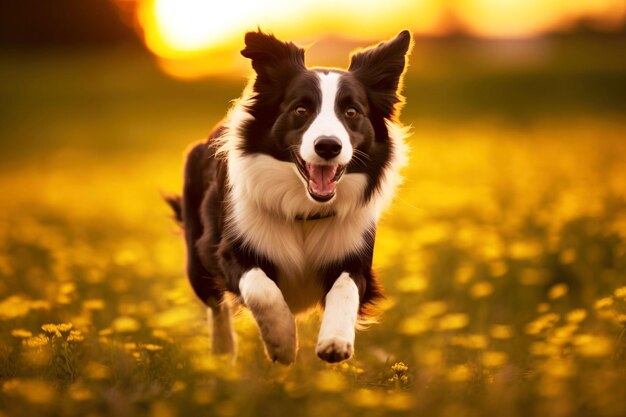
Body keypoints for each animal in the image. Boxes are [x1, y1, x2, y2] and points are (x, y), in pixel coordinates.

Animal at [165, 29, 410, 362]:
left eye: (351, 112)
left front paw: (335, 341)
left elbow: (345, 288)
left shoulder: (355, 258)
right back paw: (221, 354)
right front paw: (282, 341)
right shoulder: (228, 249)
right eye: (301, 109)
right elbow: (261, 288)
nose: (328, 146)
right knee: (216, 304)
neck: (304, 211)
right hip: (197, 258)